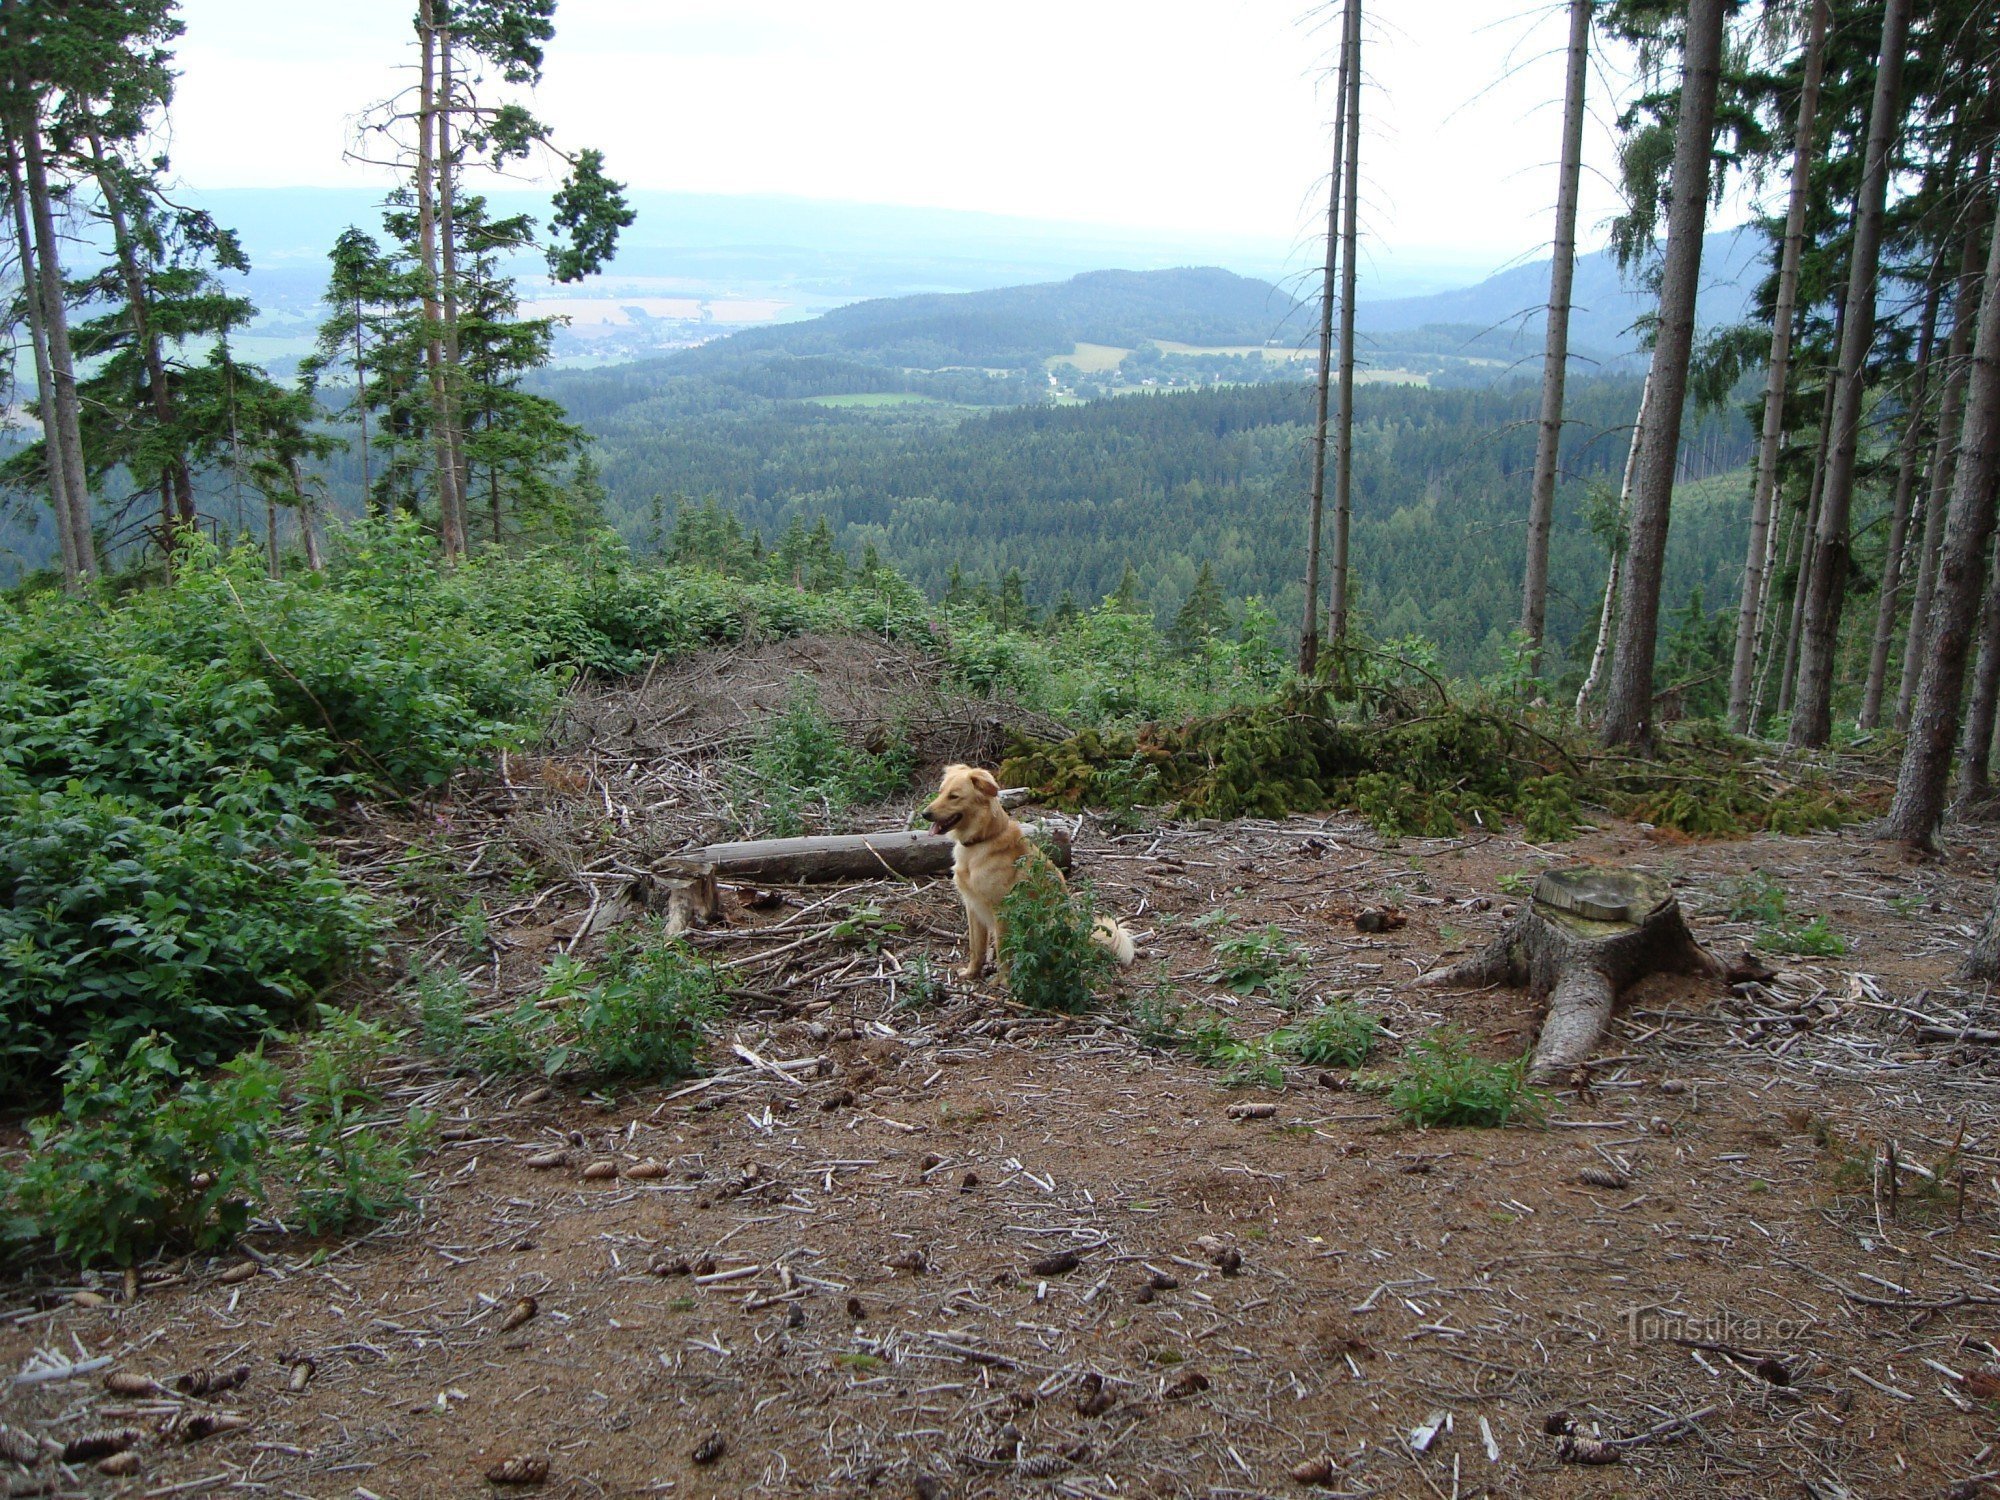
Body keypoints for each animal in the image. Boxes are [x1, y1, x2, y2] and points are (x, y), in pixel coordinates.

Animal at [924, 764, 1136, 988]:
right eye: (940, 792)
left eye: (953, 796)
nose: (924, 814)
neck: (981, 842)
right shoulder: (972, 907)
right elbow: (976, 948)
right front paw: (972, 973)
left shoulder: (1002, 911)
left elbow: (1002, 950)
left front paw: (1003, 981)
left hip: (1049, 924)